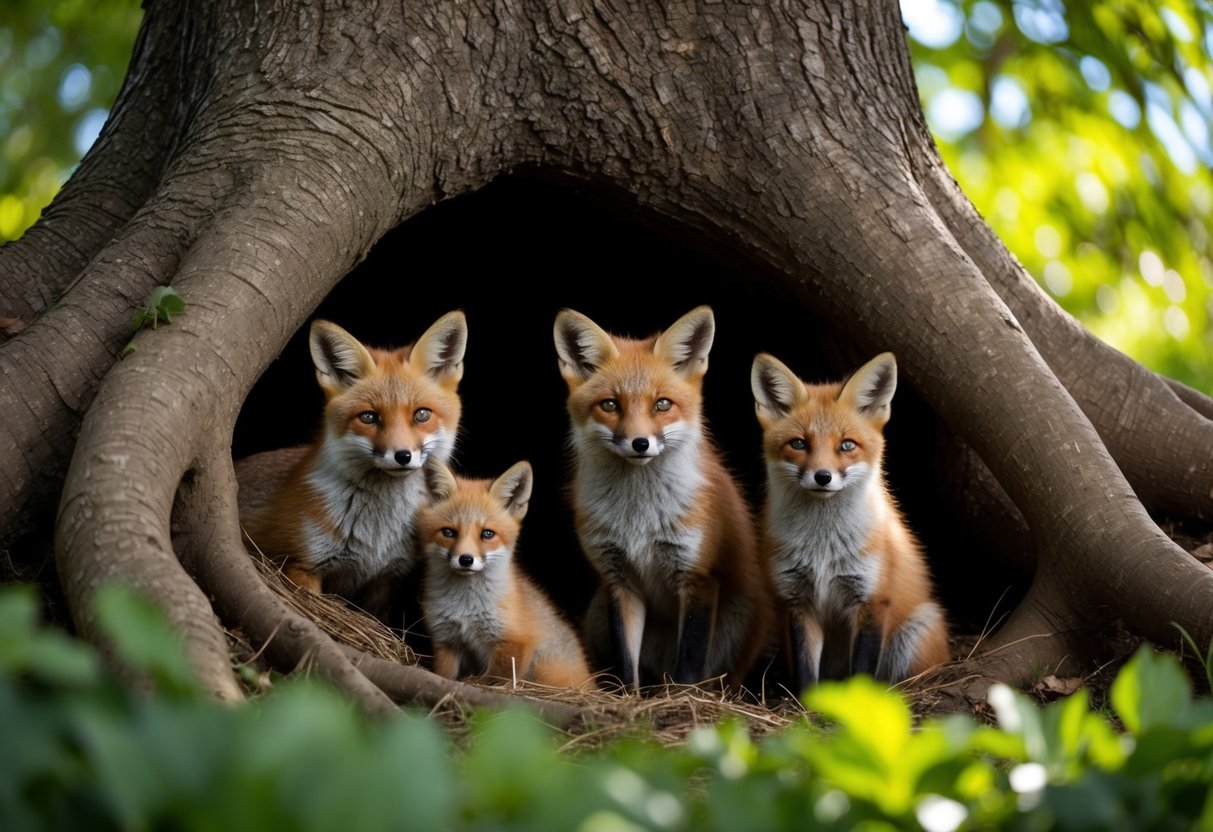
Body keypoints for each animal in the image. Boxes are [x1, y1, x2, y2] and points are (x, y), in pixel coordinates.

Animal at [239, 310, 468, 612]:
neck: (377, 535)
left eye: (421, 415)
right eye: (369, 417)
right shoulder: (303, 566)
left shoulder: (385, 581)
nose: (402, 456)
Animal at [415, 457, 594, 689]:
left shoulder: (515, 643)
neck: (465, 607)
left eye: (487, 534)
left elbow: (496, 678)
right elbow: (444, 675)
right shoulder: (447, 640)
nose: (466, 559)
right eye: (448, 532)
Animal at [553, 305, 775, 691]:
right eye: (610, 404)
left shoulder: (698, 576)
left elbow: (690, 660)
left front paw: (684, 698)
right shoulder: (618, 580)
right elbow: (626, 659)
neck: (638, 516)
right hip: (597, 612)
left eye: (662, 405)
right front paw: (629, 698)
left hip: (738, 618)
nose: (640, 443)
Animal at [750, 350, 950, 691]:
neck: (822, 546)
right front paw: (808, 703)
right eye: (799, 444)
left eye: (846, 445)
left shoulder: (872, 599)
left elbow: (863, 670)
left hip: (916, 628)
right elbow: (806, 669)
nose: (823, 476)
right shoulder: (798, 601)